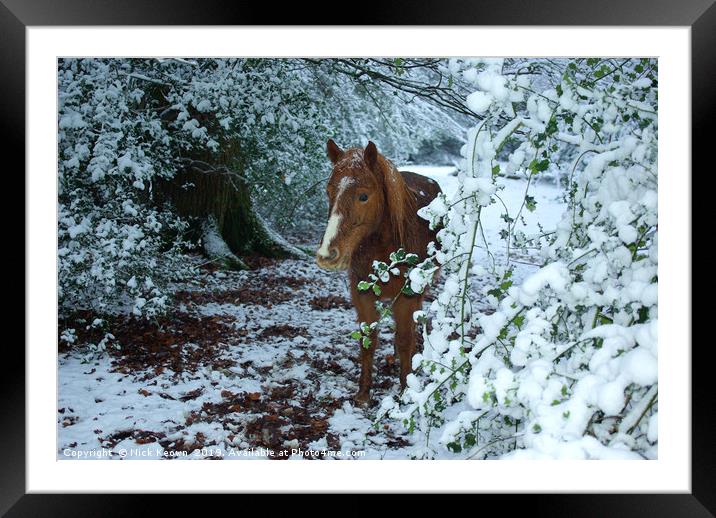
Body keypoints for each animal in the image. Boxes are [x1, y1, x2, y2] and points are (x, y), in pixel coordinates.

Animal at [314, 140, 440, 408]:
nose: (327, 254)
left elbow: (405, 339)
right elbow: (368, 340)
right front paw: (363, 393)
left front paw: (405, 389)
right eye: (329, 192)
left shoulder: (407, 296)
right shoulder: (362, 295)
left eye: (363, 196)